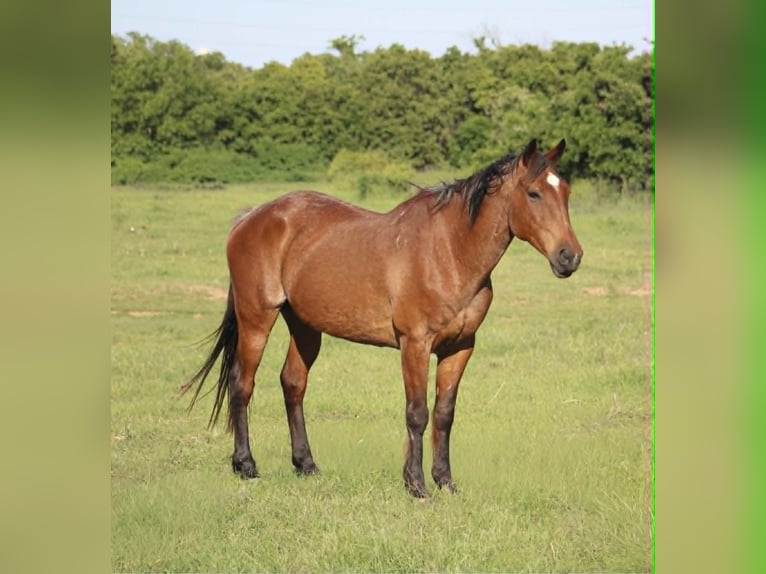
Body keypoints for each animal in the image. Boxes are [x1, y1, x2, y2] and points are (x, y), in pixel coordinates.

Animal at [182, 138, 583, 498]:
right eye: (534, 193)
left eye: (565, 192)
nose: (570, 256)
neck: (449, 252)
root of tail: (250, 217)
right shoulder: (415, 344)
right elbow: (417, 413)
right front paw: (417, 485)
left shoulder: (460, 348)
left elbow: (444, 414)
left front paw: (445, 482)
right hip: (256, 318)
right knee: (242, 384)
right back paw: (246, 466)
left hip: (305, 326)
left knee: (293, 383)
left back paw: (306, 464)